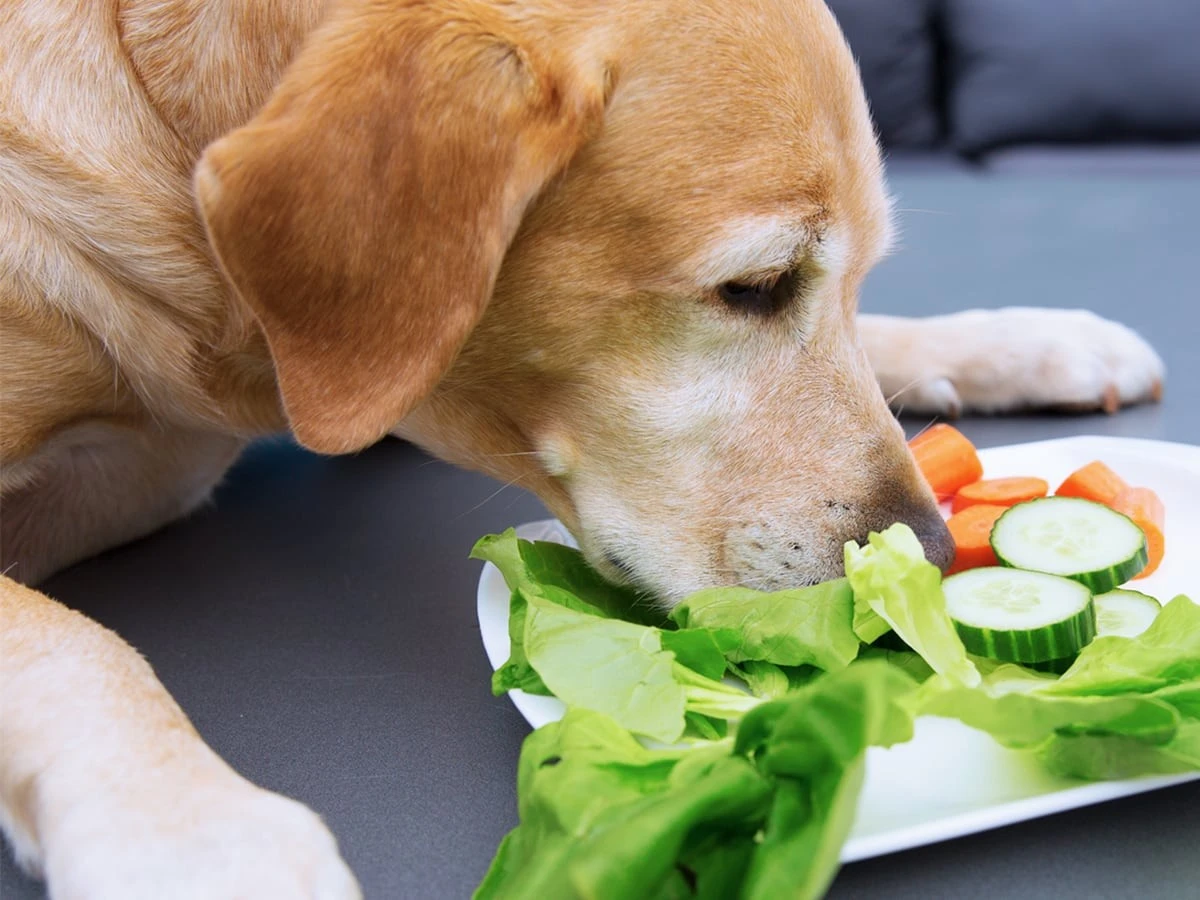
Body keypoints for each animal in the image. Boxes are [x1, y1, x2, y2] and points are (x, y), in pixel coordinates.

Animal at [0, 0, 1161, 897]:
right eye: (753, 286)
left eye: (859, 270)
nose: (930, 550)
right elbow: (71, 643)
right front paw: (193, 833)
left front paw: (1020, 339)